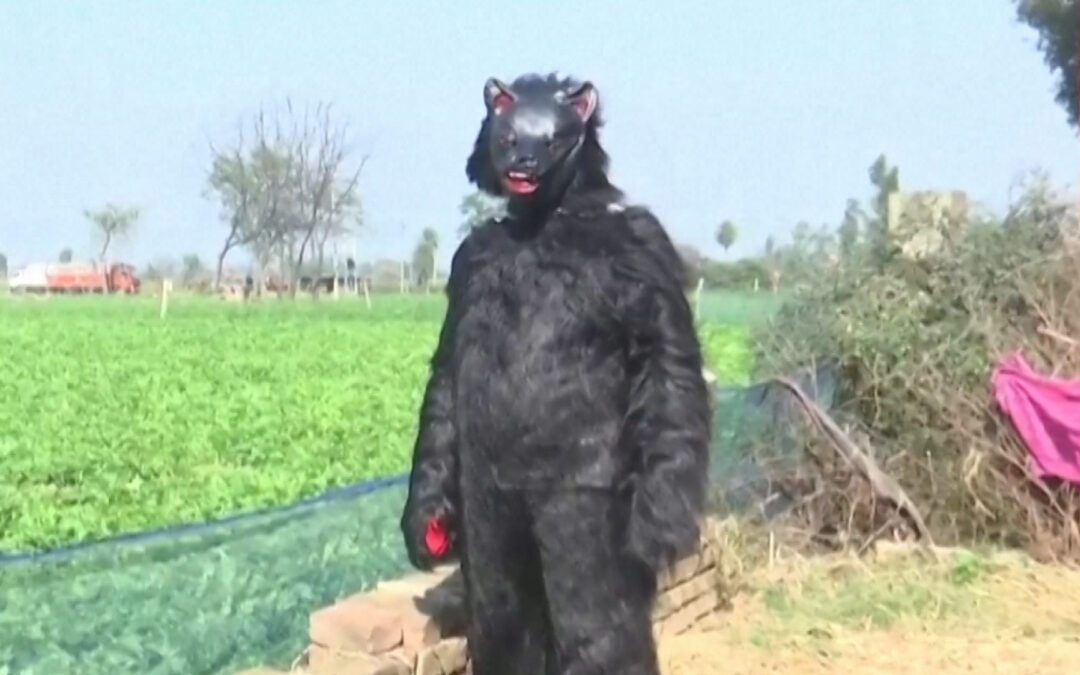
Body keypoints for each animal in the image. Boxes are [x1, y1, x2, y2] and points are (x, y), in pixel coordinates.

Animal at [400, 72, 711, 675]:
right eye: (508, 135)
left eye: (548, 138)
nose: (520, 161)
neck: (545, 220)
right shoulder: (468, 263)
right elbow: (448, 374)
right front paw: (425, 521)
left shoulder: (645, 247)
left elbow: (665, 355)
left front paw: (659, 525)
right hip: (488, 506)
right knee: (501, 611)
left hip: (576, 504)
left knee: (594, 619)